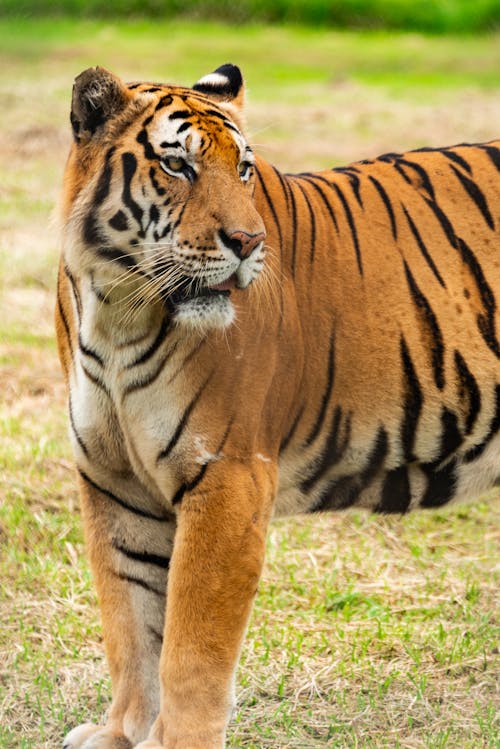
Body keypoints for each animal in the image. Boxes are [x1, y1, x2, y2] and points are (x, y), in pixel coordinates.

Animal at [56, 65, 498, 748]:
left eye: (242, 169)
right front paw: (123, 734)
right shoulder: (113, 482)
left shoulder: (228, 478)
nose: (247, 241)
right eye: (177, 165)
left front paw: (175, 741)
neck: (119, 310)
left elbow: (190, 647)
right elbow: (129, 622)